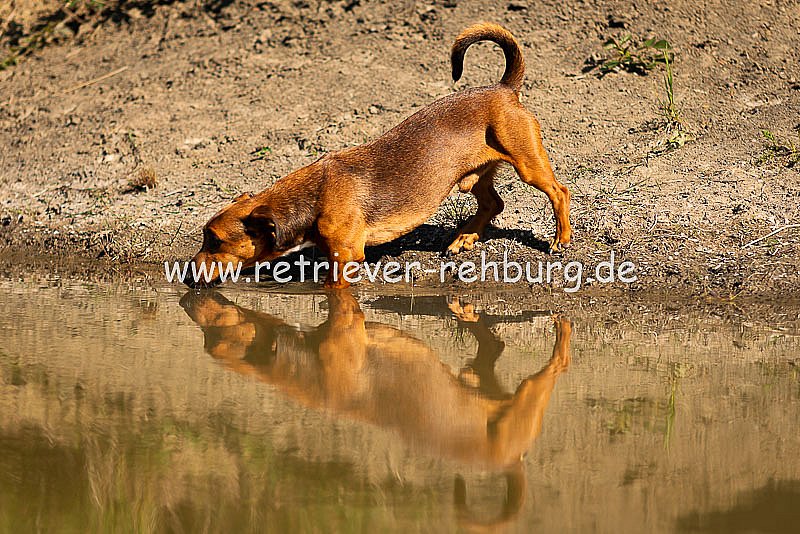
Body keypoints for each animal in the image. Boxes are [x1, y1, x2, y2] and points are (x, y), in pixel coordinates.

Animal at [180, 290, 571, 526]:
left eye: (214, 337)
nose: (189, 298)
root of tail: (507, 461)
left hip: (524, 400)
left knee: (551, 368)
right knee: (491, 352)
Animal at [188, 23, 571, 288]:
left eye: (215, 241)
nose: (187, 275)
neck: (313, 196)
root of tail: (504, 88)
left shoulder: (345, 259)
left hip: (528, 164)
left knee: (559, 192)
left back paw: (560, 239)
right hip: (470, 178)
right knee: (493, 204)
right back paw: (463, 238)